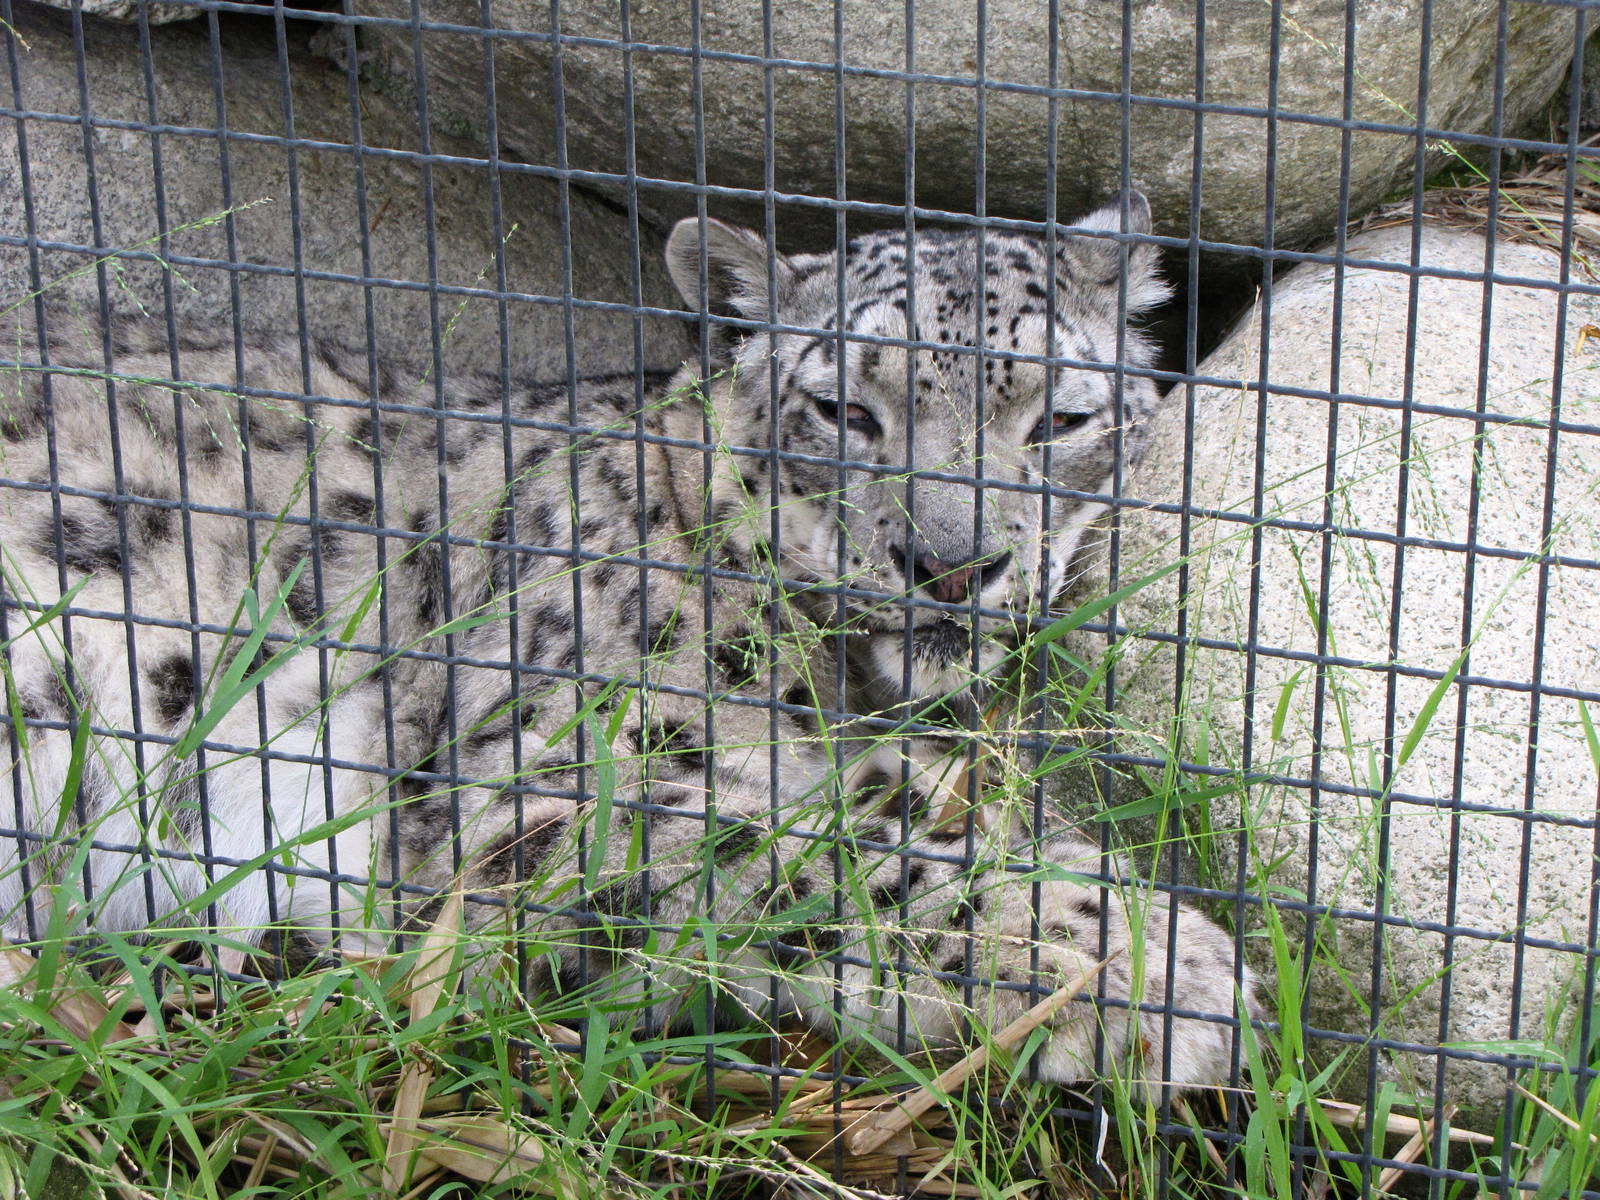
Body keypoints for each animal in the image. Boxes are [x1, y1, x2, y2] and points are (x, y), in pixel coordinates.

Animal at [0, 192, 1250, 1092]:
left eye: (1062, 419)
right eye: (843, 410)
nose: (952, 562)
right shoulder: (529, 797)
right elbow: (815, 851)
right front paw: (1155, 965)